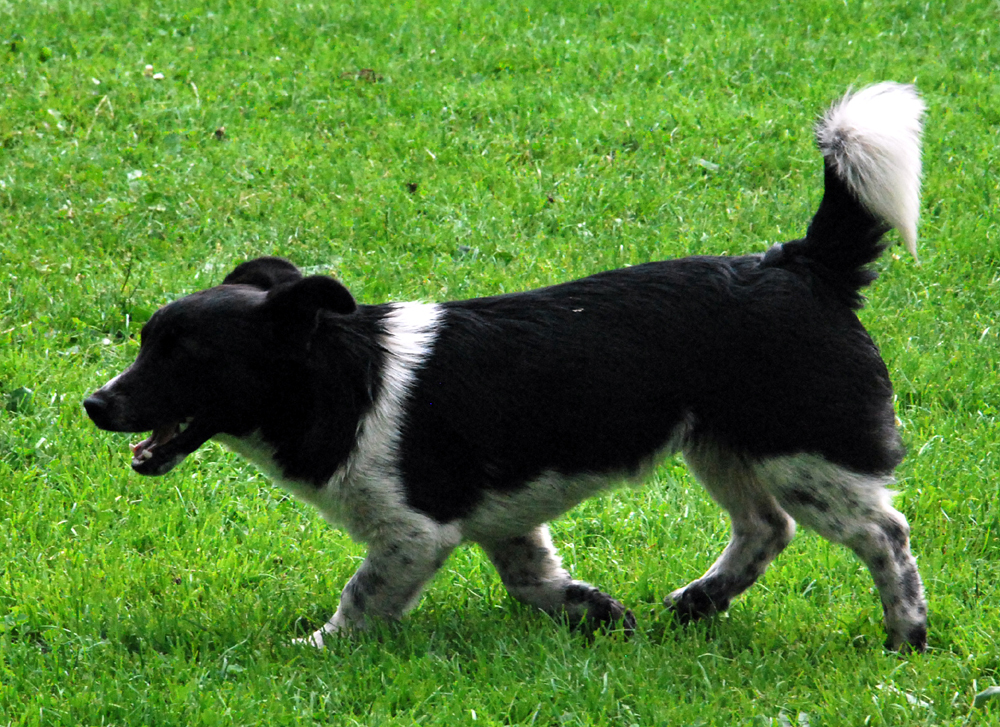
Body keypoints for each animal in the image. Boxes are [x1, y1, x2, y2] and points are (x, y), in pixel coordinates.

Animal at [86, 84, 928, 656]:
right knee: (765, 527)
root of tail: (803, 263)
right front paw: (596, 610)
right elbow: (534, 581)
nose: (95, 404)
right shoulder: (506, 519)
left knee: (884, 534)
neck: (343, 380)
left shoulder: (413, 532)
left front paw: (316, 649)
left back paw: (905, 635)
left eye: (184, 355)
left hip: (802, 452)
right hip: (723, 445)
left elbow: (362, 598)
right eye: (144, 342)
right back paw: (699, 600)